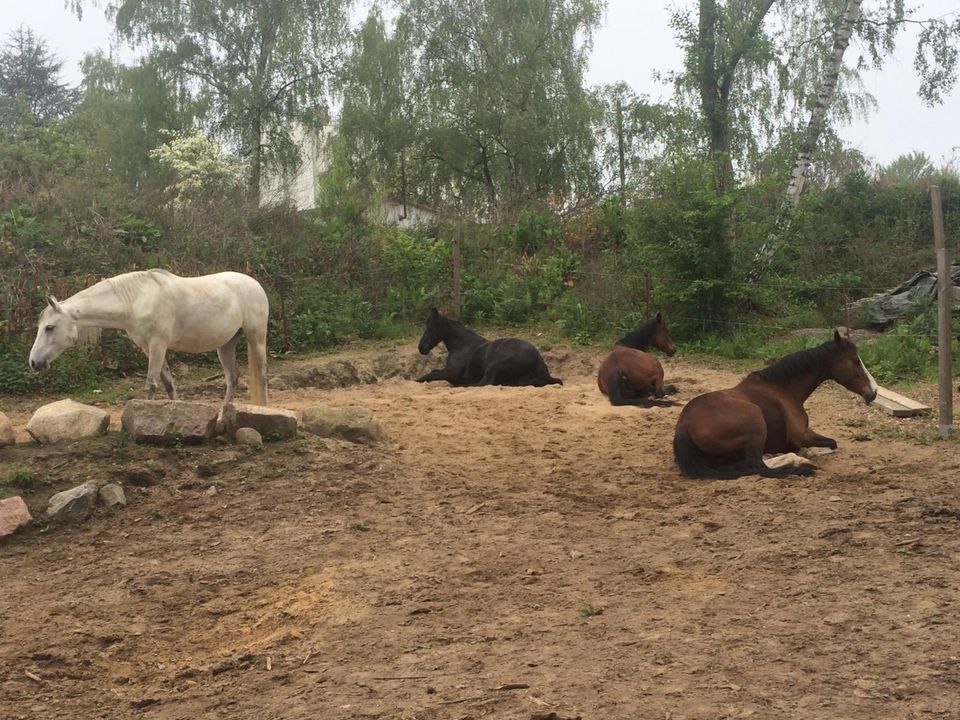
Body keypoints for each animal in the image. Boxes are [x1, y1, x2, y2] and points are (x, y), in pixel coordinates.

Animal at [29, 270, 270, 404]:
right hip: (225, 345)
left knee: (262, 376)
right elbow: (169, 384)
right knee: (233, 378)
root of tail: (255, 284)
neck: (137, 300)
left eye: (49, 327)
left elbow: (151, 385)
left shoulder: (158, 346)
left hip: (256, 338)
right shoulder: (149, 348)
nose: (34, 362)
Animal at [414, 310, 564, 388]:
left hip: (494, 365)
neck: (461, 345)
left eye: (432, 327)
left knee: (483, 383)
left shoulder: (451, 372)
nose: (421, 347)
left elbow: (432, 375)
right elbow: (433, 372)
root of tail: (537, 356)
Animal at [676, 330, 876, 478]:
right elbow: (831, 444)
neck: (783, 389)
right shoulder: (800, 435)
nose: (873, 392)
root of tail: (684, 425)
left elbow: (831, 443)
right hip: (755, 418)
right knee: (757, 465)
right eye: (855, 361)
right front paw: (808, 454)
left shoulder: (807, 431)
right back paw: (797, 464)